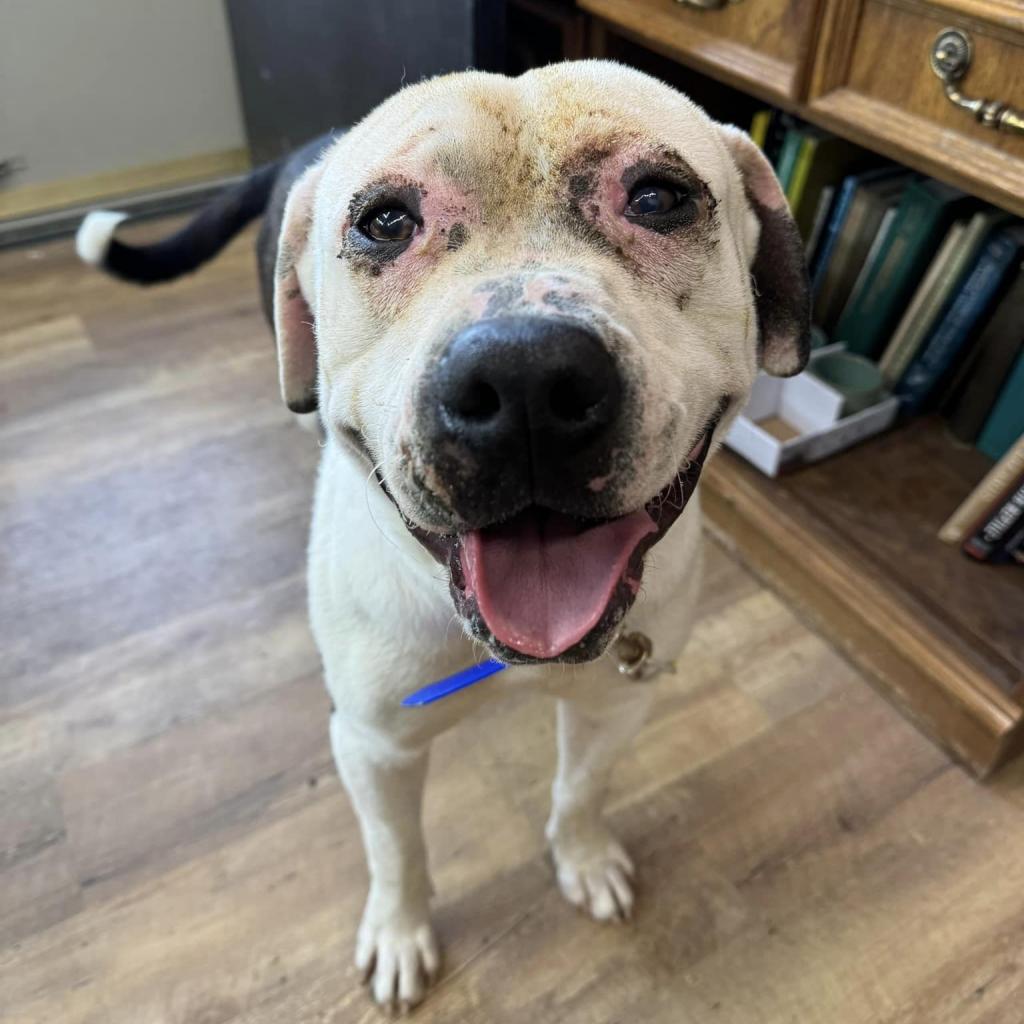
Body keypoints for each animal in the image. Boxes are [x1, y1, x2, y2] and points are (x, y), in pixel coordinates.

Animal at [77, 59, 806, 1011]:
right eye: (385, 222)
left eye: (659, 197)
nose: (526, 376)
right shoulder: (373, 746)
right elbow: (397, 852)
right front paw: (399, 932)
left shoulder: (616, 703)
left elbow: (581, 788)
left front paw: (581, 857)